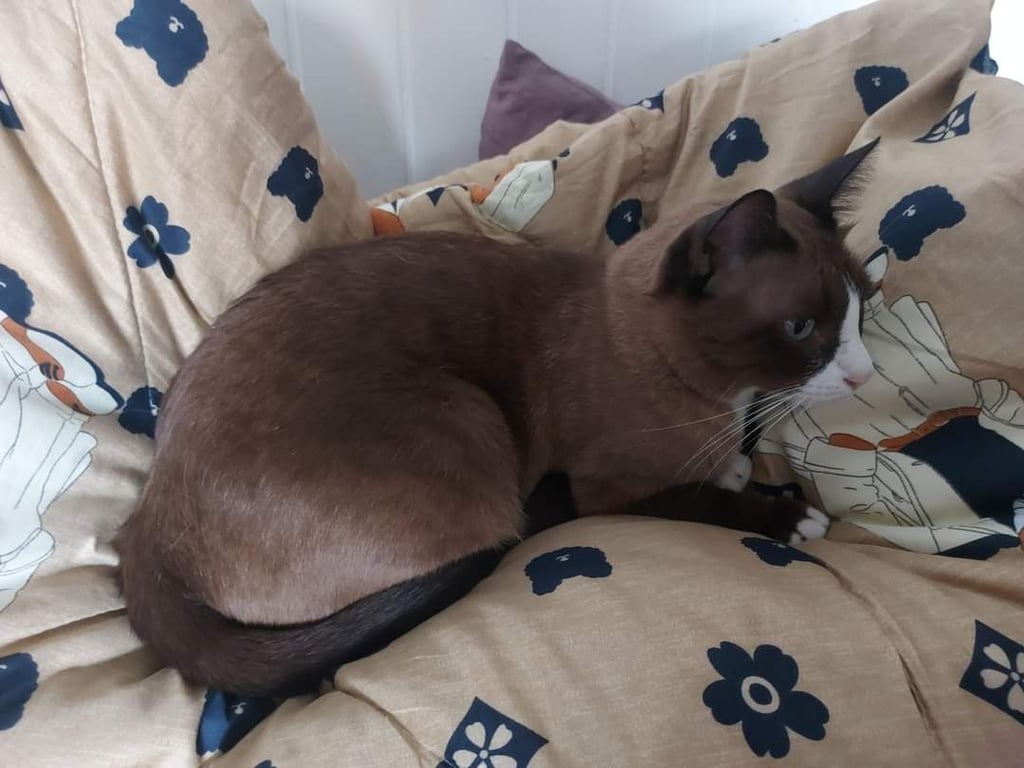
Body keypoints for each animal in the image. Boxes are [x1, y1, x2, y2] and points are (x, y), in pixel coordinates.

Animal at [116, 140, 878, 697]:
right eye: (802, 327)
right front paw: (790, 514)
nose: (864, 372)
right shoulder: (613, 490)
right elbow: (703, 499)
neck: (727, 397)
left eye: (862, 308)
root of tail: (145, 515)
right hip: (467, 417)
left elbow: (727, 470)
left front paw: (743, 467)